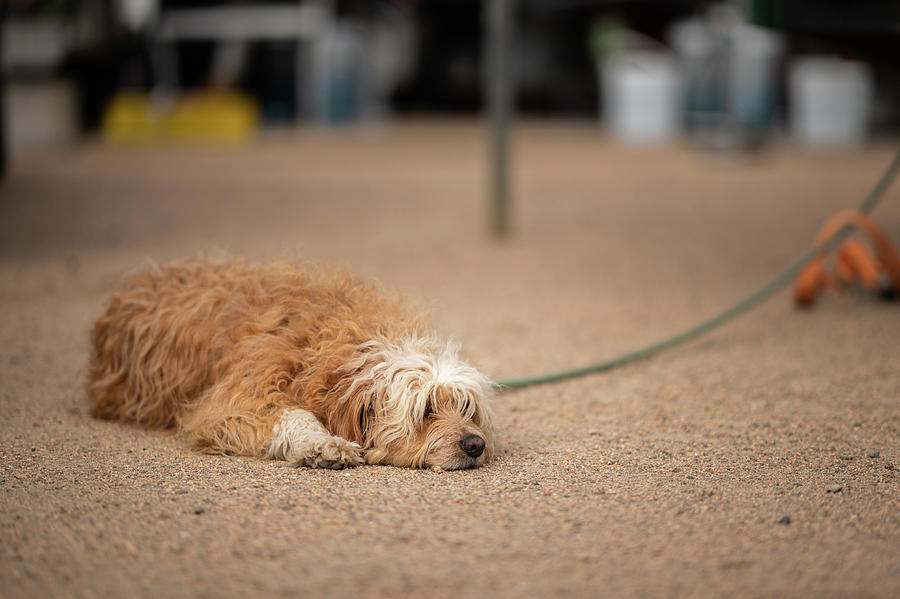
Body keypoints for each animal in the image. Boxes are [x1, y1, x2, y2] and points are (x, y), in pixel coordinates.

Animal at [87, 260, 496, 472]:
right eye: (426, 410)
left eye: (466, 408)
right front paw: (325, 445)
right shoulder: (236, 400)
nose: (475, 444)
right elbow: (290, 415)